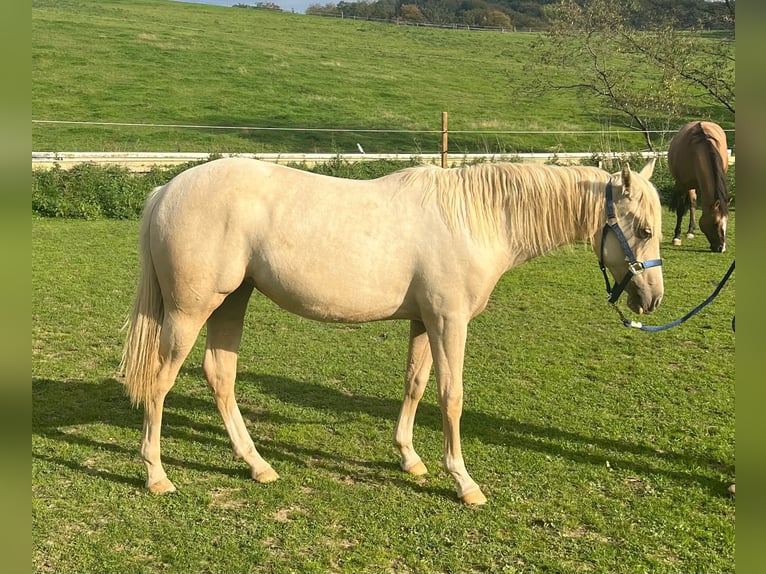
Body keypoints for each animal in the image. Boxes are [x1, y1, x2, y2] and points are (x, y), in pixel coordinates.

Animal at [121, 157, 664, 505]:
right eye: (645, 230)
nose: (652, 299)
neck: (475, 220)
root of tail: (165, 191)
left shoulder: (425, 322)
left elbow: (416, 385)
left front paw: (410, 459)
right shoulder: (449, 322)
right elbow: (450, 395)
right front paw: (463, 482)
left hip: (232, 301)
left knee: (219, 375)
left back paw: (257, 465)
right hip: (190, 311)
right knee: (160, 382)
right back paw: (156, 475)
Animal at [667, 121, 730, 252]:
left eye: (727, 221)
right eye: (715, 223)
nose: (721, 248)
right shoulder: (682, 184)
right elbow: (680, 210)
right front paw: (676, 237)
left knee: (693, 203)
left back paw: (691, 230)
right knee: (692, 203)